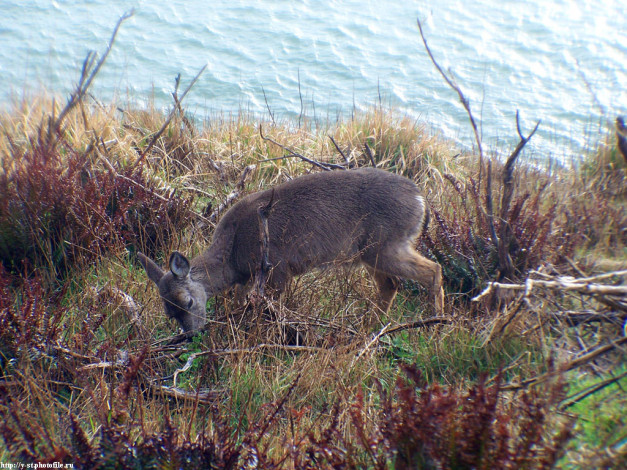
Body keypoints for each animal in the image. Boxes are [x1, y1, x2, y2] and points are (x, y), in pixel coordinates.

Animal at [140, 168, 444, 330]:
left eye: (188, 302)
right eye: (169, 313)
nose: (191, 335)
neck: (232, 254)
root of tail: (421, 200)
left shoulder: (277, 268)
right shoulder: (249, 277)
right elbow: (239, 300)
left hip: (385, 245)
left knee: (433, 270)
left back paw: (436, 322)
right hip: (372, 252)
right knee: (391, 284)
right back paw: (370, 326)